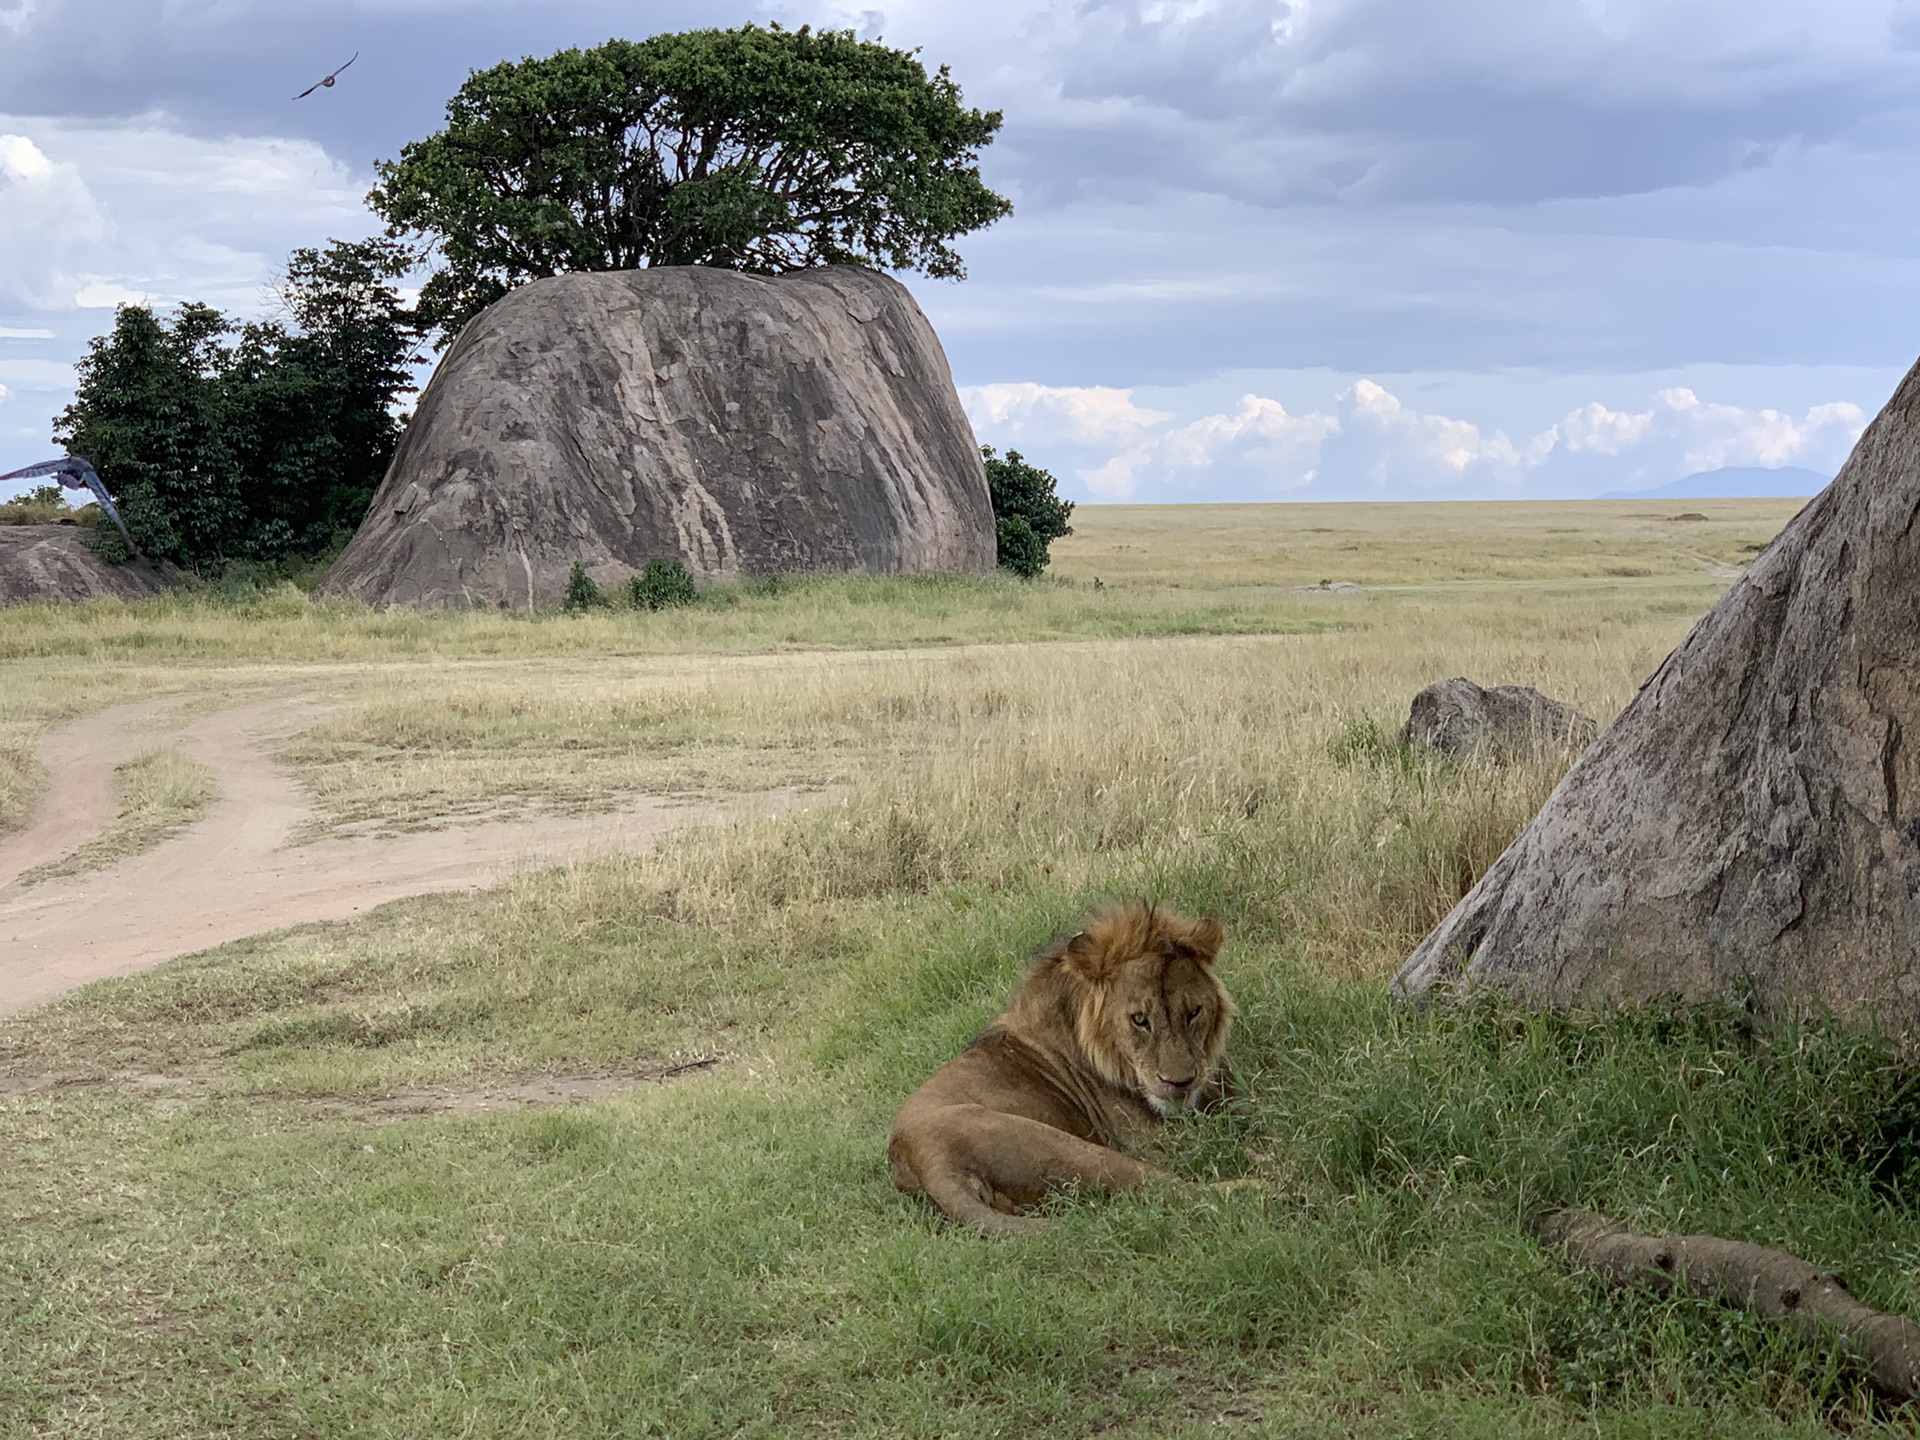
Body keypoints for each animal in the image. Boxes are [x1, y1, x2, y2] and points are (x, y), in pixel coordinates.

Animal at [883, 906, 1228, 1236]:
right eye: (1140, 1020)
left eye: (1193, 1012)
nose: (1180, 1082)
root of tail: (926, 1162)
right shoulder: (1158, 1141)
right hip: (1065, 1148)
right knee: (1174, 1190)